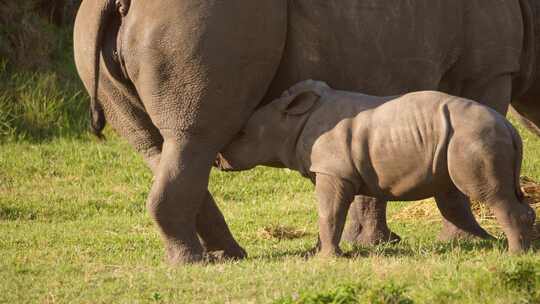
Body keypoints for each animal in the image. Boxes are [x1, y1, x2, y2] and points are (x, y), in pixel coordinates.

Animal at [216, 81, 536, 256]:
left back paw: (513, 254)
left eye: (242, 133)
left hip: (474, 137)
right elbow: (329, 212)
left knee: (489, 195)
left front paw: (328, 259)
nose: (219, 160)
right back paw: (528, 249)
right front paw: (317, 253)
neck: (292, 122)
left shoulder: (333, 170)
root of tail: (510, 127)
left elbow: (329, 212)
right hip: (470, 137)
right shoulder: (335, 171)